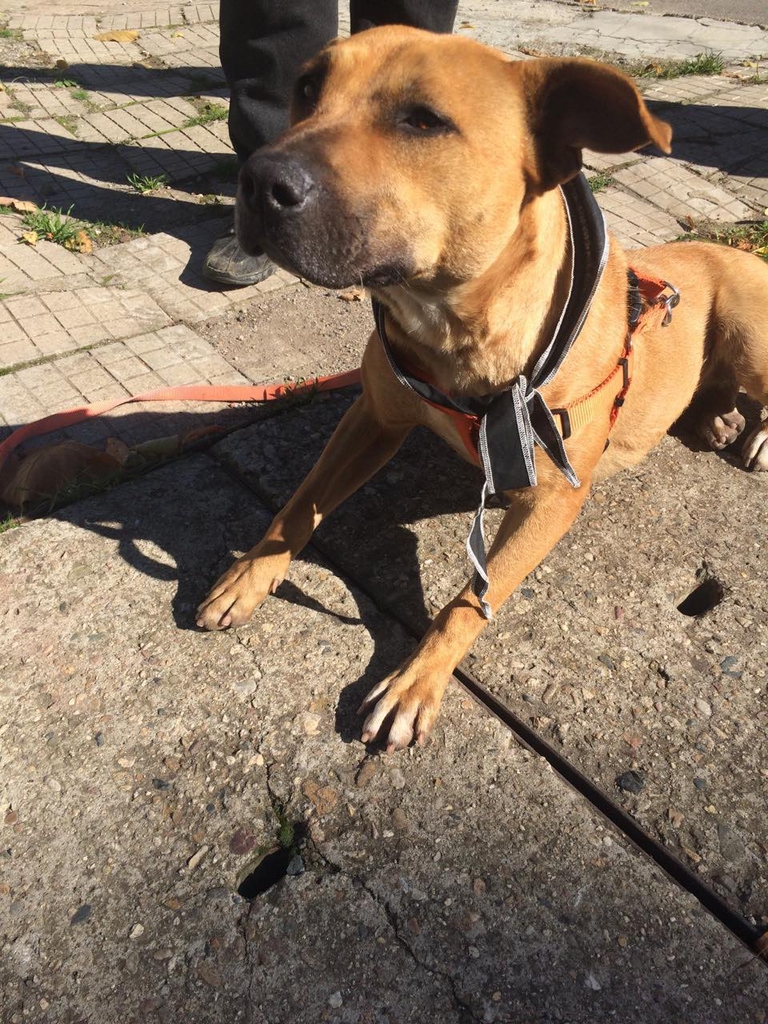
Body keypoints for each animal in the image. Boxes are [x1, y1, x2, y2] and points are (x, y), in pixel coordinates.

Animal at [196, 26, 768, 752]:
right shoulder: (372, 416)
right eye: (306, 88)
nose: (256, 179)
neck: (456, 325)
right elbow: (297, 505)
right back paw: (714, 419)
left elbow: (470, 599)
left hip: (751, 337)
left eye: (423, 120)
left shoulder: (552, 500)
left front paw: (416, 680)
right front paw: (248, 575)